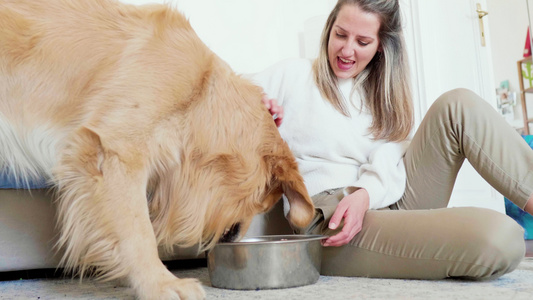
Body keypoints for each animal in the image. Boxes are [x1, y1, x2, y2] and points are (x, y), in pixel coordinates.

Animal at [0, 1, 316, 298]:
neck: (199, 96)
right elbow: (139, 232)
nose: (233, 238)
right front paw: (160, 284)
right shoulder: (116, 154)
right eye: (264, 204)